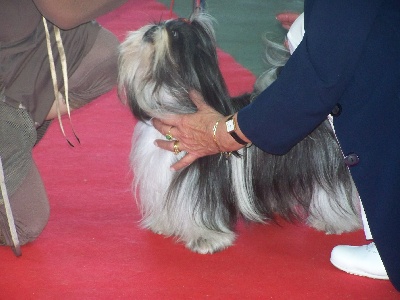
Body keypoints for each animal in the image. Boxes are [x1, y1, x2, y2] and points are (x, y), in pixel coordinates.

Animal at [116, 12, 362, 254]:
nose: (151, 29)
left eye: (175, 33)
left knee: (333, 190)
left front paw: (206, 238)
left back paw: (335, 221)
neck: (171, 102)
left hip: (326, 164)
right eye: (156, 24)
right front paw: (164, 224)